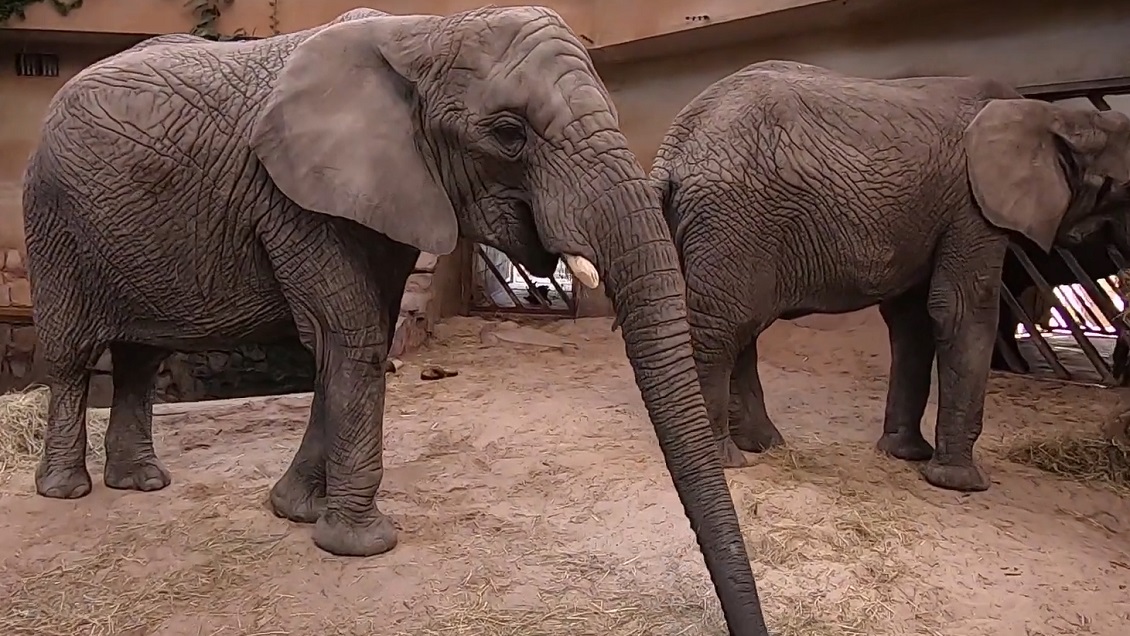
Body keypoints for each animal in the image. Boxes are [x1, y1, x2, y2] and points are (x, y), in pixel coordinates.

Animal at [22, 8, 769, 633]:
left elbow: (361, 334)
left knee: (140, 356)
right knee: (70, 357)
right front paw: (359, 544)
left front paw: (297, 511)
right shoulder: (291, 198)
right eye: (508, 134)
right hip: (52, 221)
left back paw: (142, 483)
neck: (424, 33)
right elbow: (349, 334)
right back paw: (65, 490)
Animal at [652, 60, 1130, 492]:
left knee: (739, 328)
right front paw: (961, 484)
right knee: (721, 330)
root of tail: (672, 149)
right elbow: (962, 312)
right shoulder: (972, 207)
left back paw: (763, 446)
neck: (1057, 118)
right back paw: (727, 460)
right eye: (1124, 188)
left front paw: (905, 455)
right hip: (736, 220)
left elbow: (913, 319)